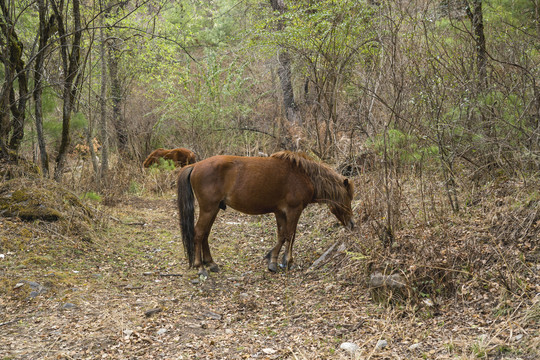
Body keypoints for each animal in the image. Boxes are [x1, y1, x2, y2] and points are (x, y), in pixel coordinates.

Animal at [176, 150, 354, 278]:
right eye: (348, 198)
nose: (352, 224)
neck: (304, 176)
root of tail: (196, 165)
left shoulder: (280, 212)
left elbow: (282, 235)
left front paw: (273, 261)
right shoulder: (293, 210)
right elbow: (291, 235)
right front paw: (287, 261)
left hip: (214, 209)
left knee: (205, 234)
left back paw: (211, 263)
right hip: (209, 208)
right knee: (199, 233)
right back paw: (200, 267)